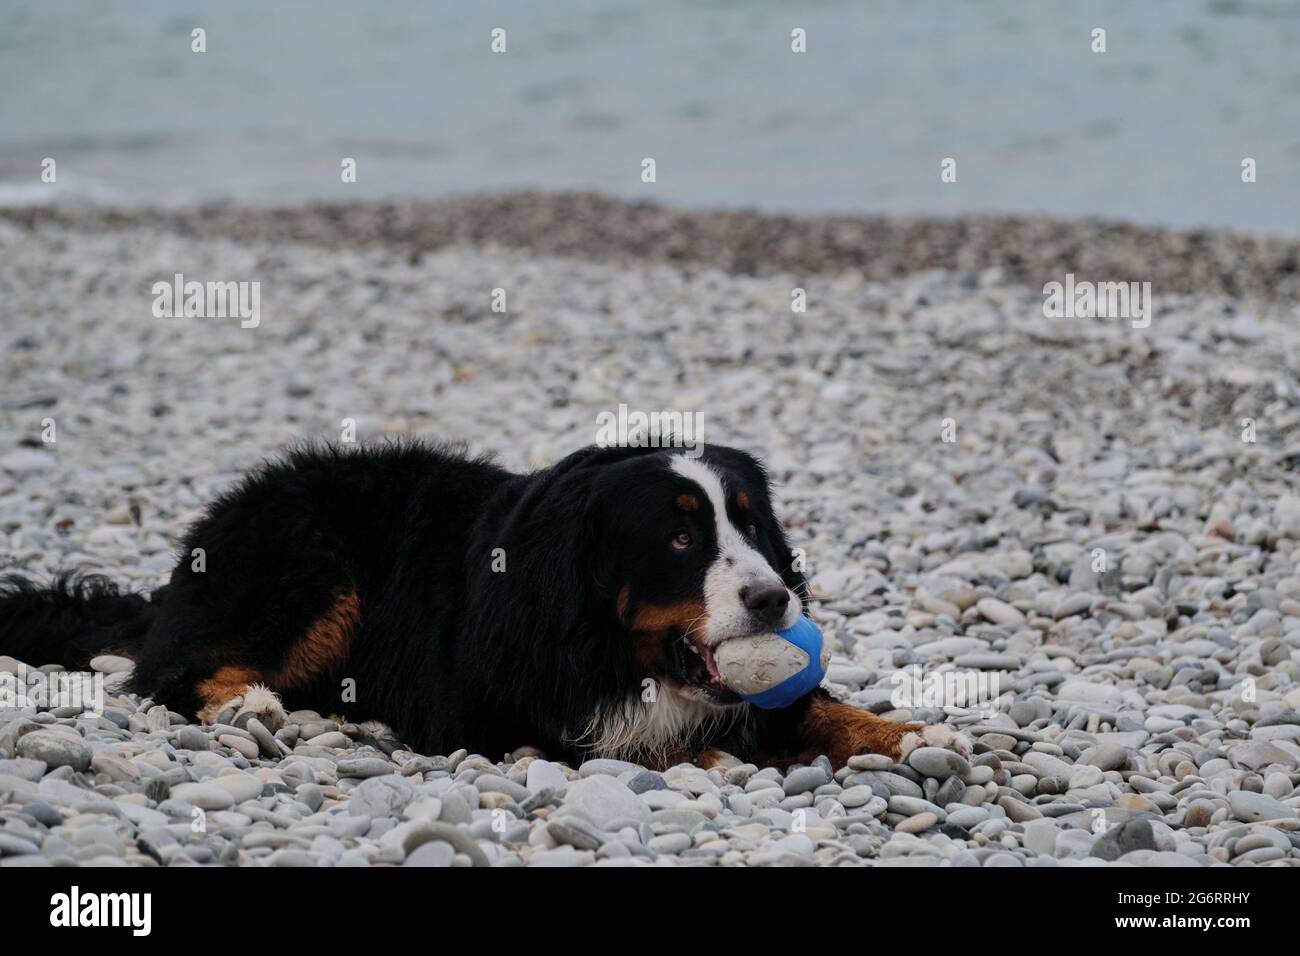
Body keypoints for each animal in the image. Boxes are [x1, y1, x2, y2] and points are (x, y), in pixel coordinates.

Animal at [0, 442, 967, 770]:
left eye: (752, 524)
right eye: (679, 539)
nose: (773, 599)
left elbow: (815, 708)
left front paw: (908, 734)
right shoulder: (506, 712)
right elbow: (648, 743)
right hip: (316, 560)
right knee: (172, 668)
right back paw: (246, 702)